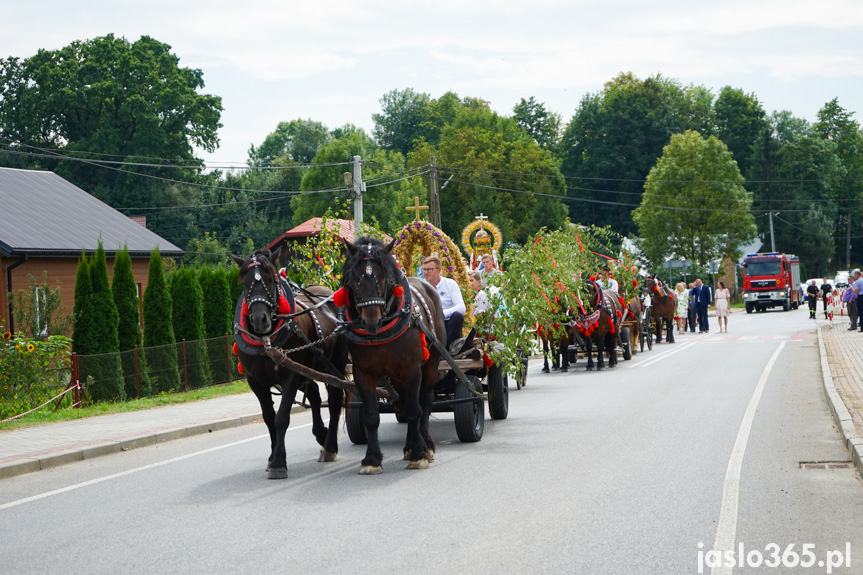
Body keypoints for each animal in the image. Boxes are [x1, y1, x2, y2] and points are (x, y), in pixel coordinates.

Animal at [233, 249, 352, 482]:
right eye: (244, 283)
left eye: (271, 280)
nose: (260, 320)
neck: (266, 341)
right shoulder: (255, 381)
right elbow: (269, 418)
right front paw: (272, 457)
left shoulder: (290, 377)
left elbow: (281, 418)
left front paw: (279, 462)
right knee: (314, 393)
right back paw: (321, 434)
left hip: (334, 362)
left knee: (334, 400)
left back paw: (329, 447)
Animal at [338, 236, 446, 474]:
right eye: (354, 278)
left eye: (384, 277)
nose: (371, 320)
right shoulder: (362, 373)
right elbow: (371, 416)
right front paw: (371, 459)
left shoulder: (413, 369)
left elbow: (415, 410)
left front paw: (419, 454)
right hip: (396, 376)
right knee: (405, 402)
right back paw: (409, 446)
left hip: (431, 362)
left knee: (424, 401)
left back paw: (425, 444)